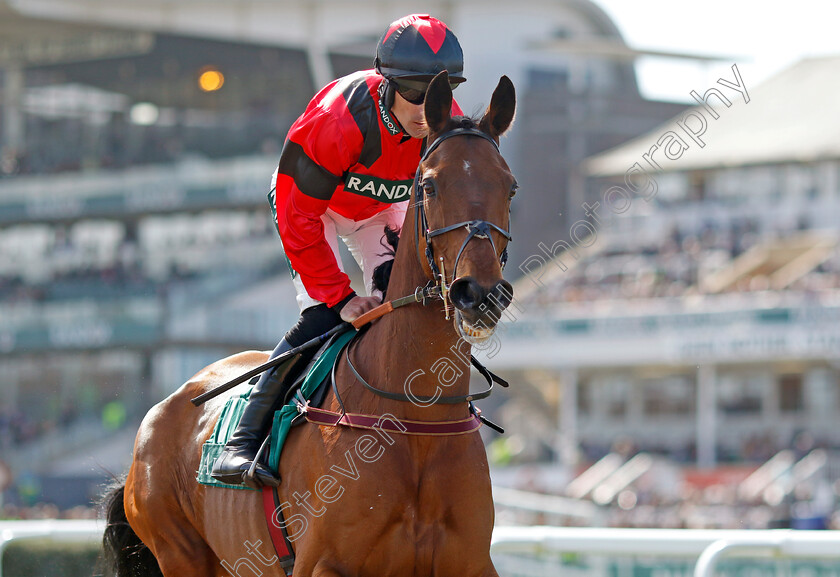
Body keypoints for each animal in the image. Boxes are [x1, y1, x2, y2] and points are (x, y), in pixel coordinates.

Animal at [101, 73, 516, 576]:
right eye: (431, 186)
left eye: (510, 187)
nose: (479, 294)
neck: (414, 416)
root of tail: (161, 410)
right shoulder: (322, 563)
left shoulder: (471, 561)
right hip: (178, 552)